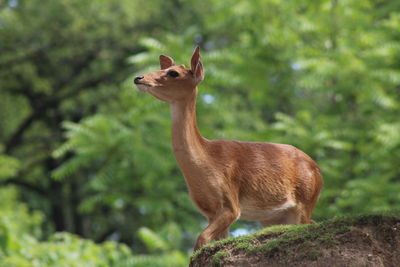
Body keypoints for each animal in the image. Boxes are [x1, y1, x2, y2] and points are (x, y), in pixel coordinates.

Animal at [134, 46, 322, 251]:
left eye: (174, 73)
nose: (139, 77)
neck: (207, 160)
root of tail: (317, 170)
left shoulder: (231, 202)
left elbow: (201, 240)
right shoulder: (209, 210)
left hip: (305, 200)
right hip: (274, 216)